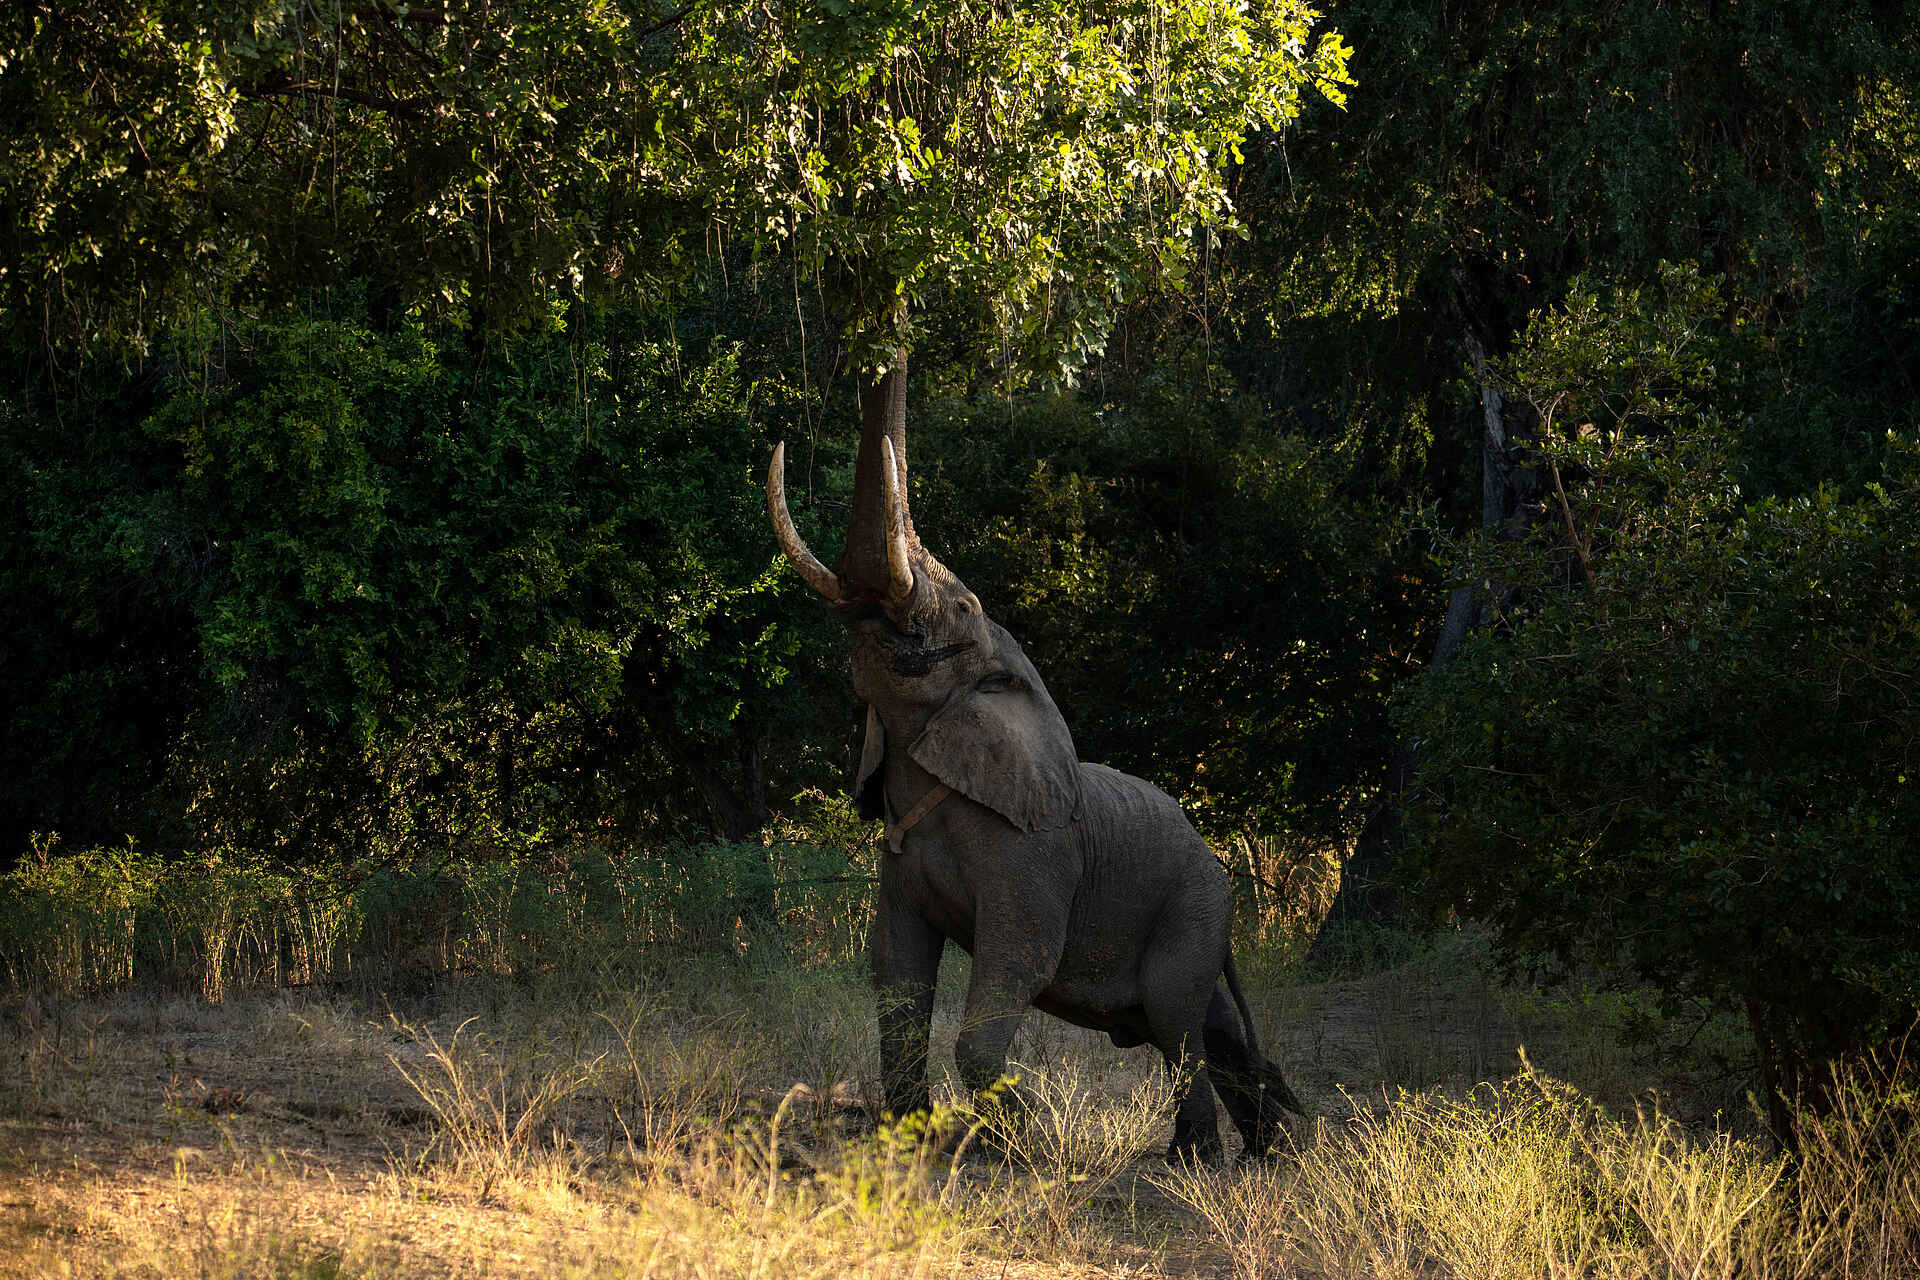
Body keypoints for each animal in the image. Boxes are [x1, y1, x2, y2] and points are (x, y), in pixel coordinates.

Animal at [764, 372, 1303, 1161]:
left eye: (961, 606)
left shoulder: (1036, 855)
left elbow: (1019, 958)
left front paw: (1028, 1143)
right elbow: (895, 965)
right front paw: (910, 1143)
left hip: (1198, 901)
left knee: (1177, 1020)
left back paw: (1202, 1162)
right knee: (1209, 1030)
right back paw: (1269, 1154)